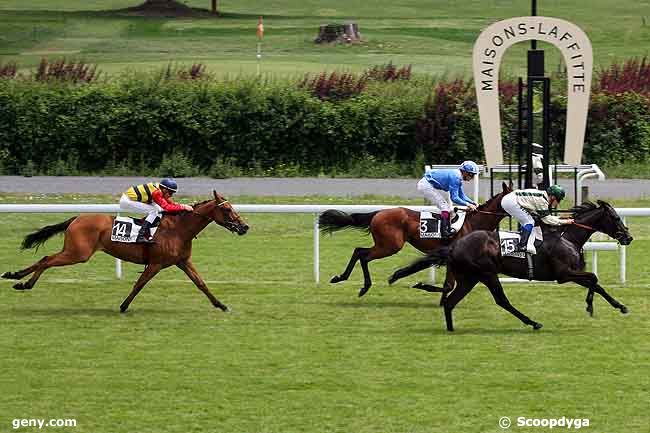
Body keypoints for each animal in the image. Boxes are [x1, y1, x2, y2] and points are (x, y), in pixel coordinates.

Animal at [1, 191, 249, 312]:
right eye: (227, 209)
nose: (245, 226)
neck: (178, 229)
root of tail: (76, 218)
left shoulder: (182, 261)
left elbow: (201, 283)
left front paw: (221, 305)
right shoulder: (156, 264)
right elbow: (139, 285)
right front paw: (123, 306)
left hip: (75, 252)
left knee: (45, 259)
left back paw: (17, 278)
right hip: (78, 254)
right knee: (47, 259)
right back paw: (22, 281)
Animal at [318, 181, 512, 296]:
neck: (474, 223)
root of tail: (378, 213)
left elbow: (446, 284)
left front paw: (400, 277)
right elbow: (447, 285)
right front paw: (419, 284)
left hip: (386, 245)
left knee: (359, 251)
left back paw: (342, 278)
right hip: (390, 246)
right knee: (363, 255)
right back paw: (362, 286)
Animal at [388, 200, 632, 330]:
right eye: (616, 218)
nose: (628, 238)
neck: (568, 237)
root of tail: (455, 245)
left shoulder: (571, 273)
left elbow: (596, 283)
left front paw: (619, 306)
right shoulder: (565, 274)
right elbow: (593, 279)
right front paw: (591, 306)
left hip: (470, 277)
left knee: (450, 301)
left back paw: (450, 328)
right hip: (487, 273)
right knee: (501, 300)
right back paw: (533, 322)